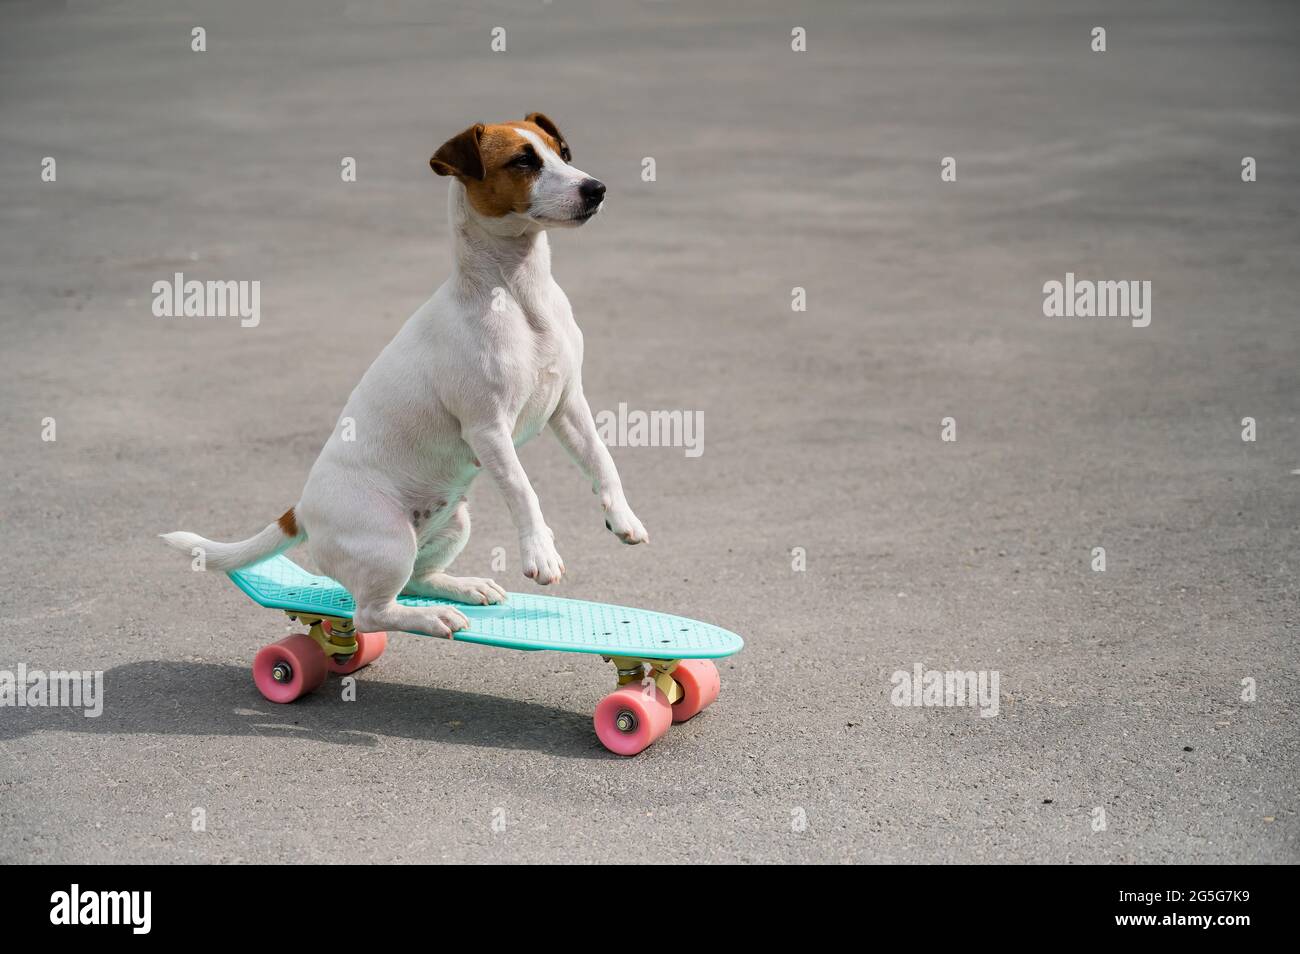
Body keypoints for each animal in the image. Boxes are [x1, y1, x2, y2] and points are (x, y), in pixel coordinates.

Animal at [165, 115, 647, 642]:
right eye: (523, 161)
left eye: (562, 151)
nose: (596, 188)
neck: (520, 297)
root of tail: (301, 510)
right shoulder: (488, 428)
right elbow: (524, 490)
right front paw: (541, 551)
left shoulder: (569, 405)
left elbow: (603, 462)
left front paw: (623, 519)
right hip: (390, 542)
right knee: (371, 613)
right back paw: (431, 618)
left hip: (454, 523)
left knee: (418, 579)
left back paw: (462, 588)